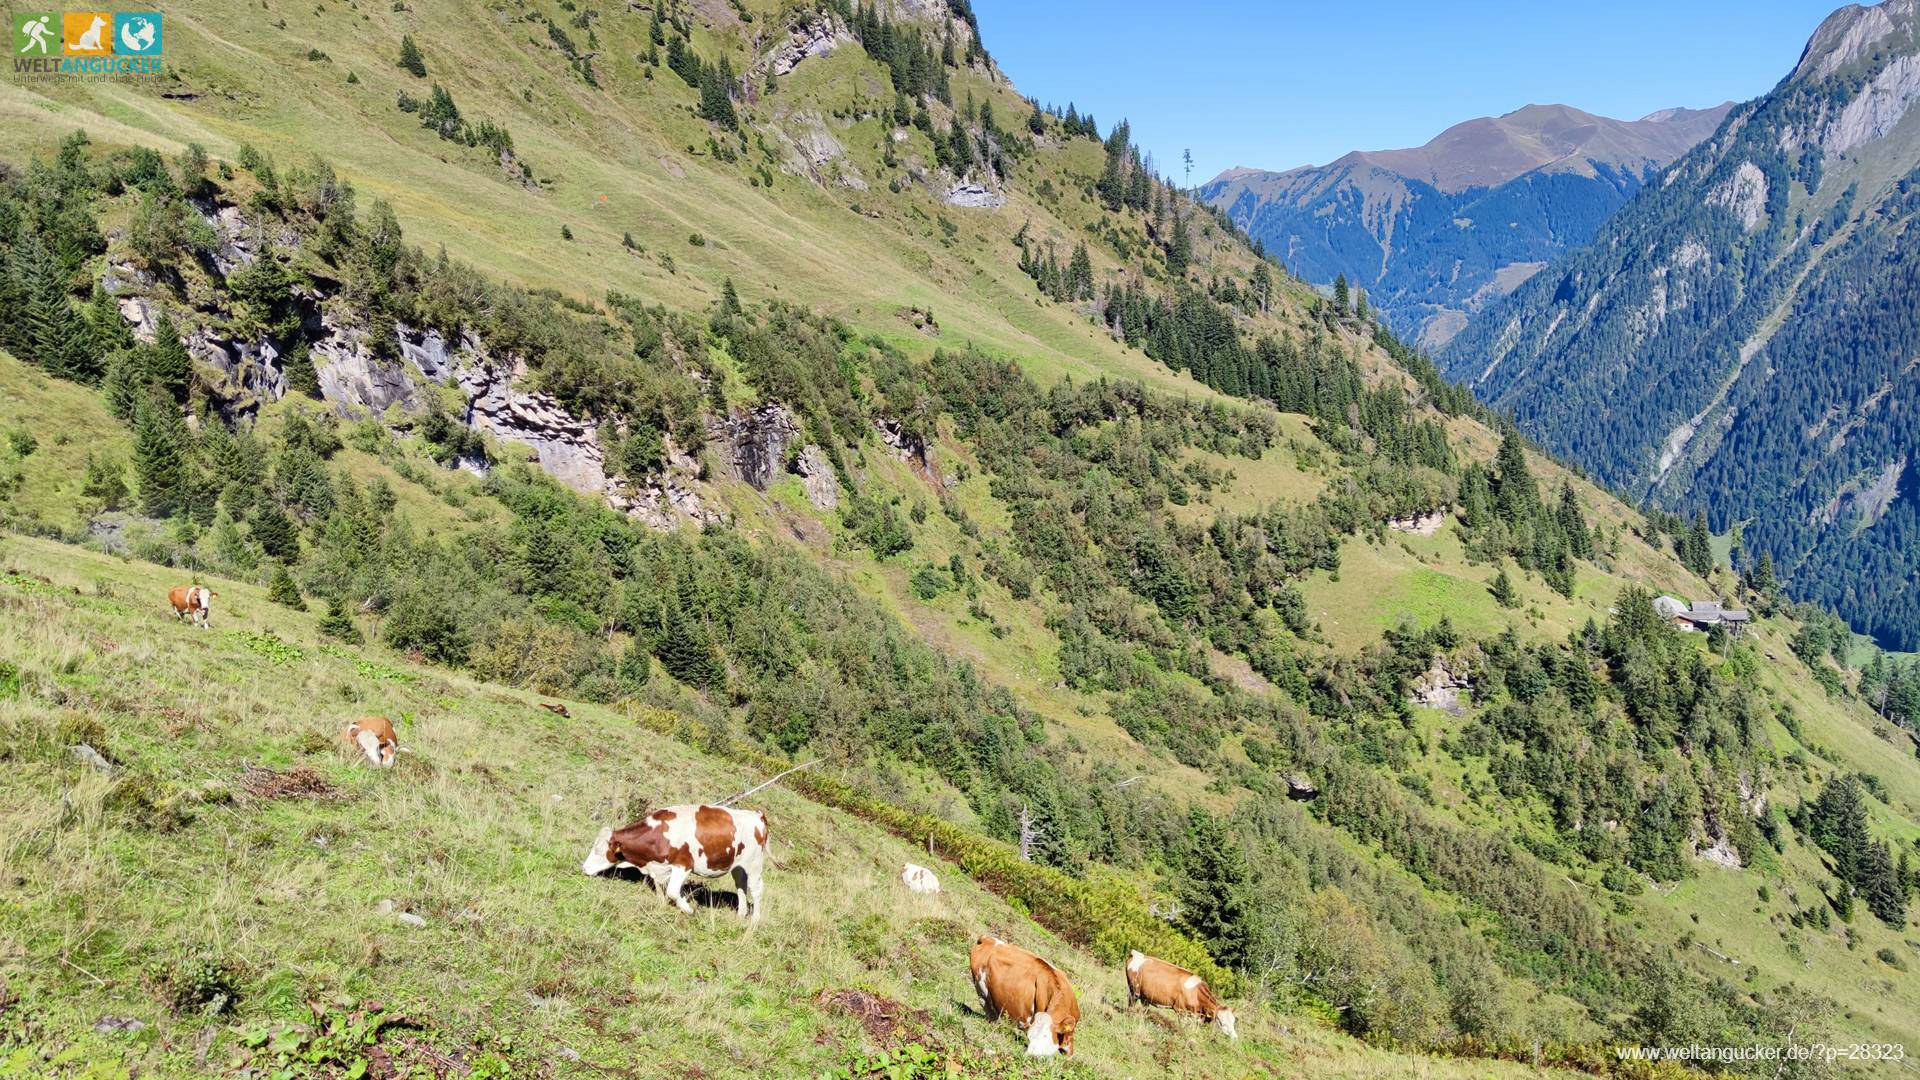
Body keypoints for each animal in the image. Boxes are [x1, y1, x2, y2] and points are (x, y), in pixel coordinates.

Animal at [579, 803, 768, 922]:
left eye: (599, 850)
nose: (584, 868)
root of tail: (757, 815)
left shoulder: (683, 864)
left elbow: (672, 891)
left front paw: (689, 909)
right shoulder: (660, 868)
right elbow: (662, 888)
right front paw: (664, 904)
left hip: (754, 864)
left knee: (757, 889)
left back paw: (755, 920)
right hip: (738, 866)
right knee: (741, 885)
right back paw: (741, 914)